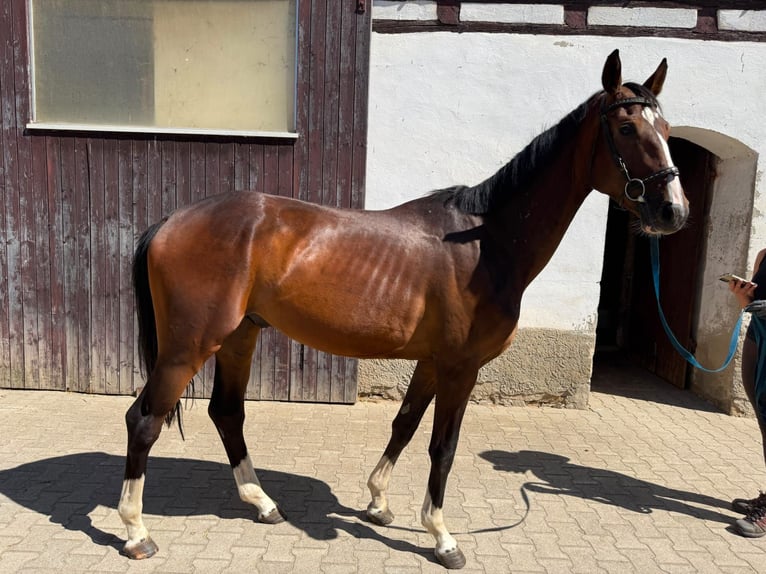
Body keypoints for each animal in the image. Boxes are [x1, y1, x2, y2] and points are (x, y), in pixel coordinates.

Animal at [118, 50, 689, 569]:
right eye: (626, 128)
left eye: (665, 127)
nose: (673, 211)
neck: (486, 243)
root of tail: (171, 220)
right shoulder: (461, 367)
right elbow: (444, 446)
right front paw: (442, 537)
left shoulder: (433, 361)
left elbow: (405, 425)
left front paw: (378, 502)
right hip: (189, 346)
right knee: (144, 419)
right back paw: (136, 532)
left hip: (240, 336)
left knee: (227, 413)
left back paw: (262, 503)